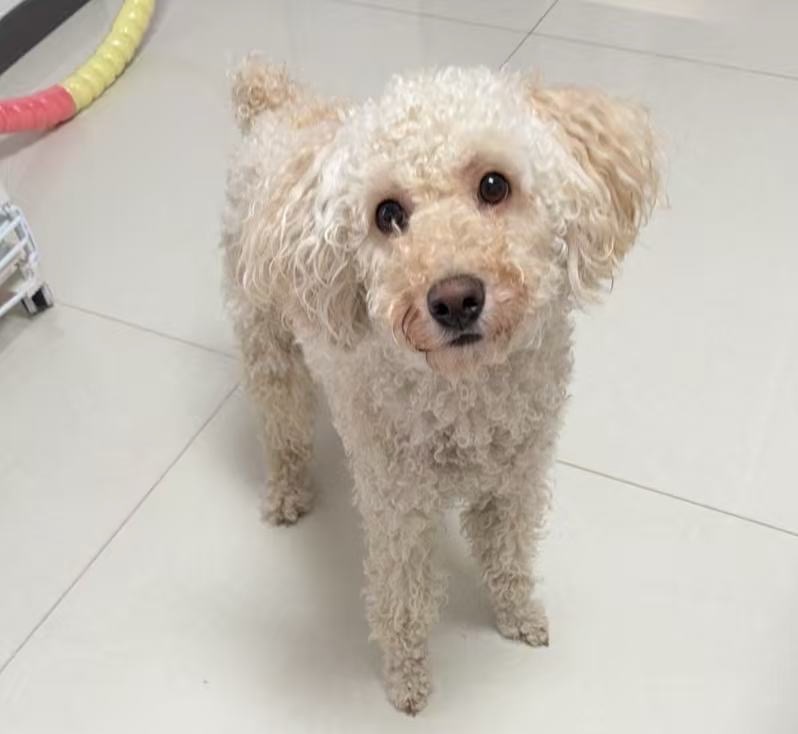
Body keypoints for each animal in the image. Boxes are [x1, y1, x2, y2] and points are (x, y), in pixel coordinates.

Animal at [221, 56, 659, 714]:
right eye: (387, 214)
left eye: (495, 185)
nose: (454, 299)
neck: (466, 396)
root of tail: (274, 104)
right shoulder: (398, 511)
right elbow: (403, 599)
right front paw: (407, 680)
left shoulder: (516, 481)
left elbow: (509, 554)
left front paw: (518, 615)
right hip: (266, 343)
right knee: (283, 425)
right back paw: (288, 490)